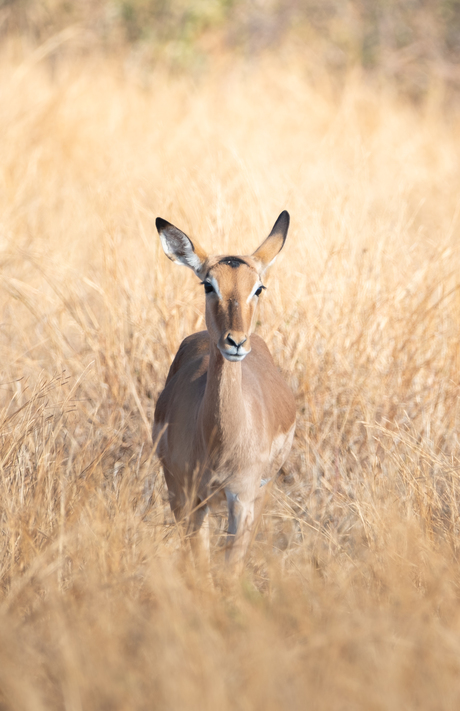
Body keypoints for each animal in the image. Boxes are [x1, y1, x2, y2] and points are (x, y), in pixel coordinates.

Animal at [152, 211, 296, 574]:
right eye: (208, 284)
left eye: (258, 287)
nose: (235, 342)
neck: (218, 442)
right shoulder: (186, 497)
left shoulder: (242, 498)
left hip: (261, 492)